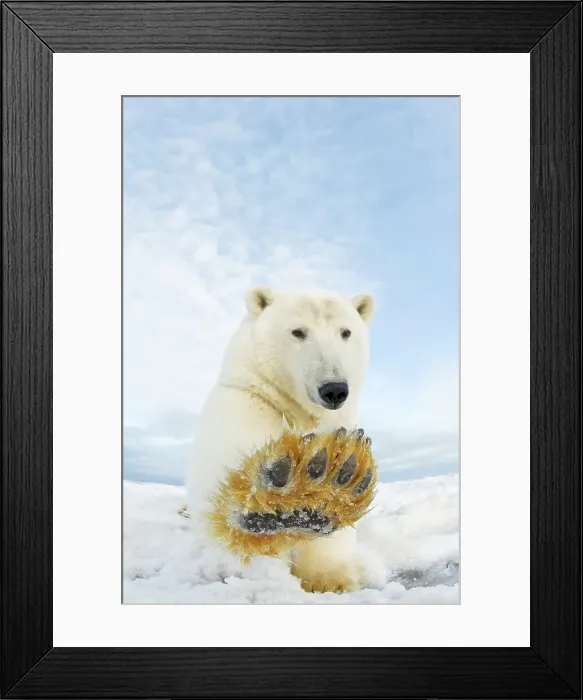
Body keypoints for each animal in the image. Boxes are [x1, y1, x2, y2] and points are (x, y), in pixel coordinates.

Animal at [186, 286, 376, 593]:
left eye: (346, 332)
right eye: (298, 332)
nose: (334, 389)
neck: (297, 410)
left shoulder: (341, 423)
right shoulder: (248, 402)